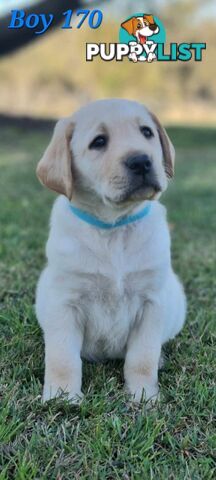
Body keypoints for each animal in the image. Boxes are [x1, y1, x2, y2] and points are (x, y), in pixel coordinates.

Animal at [35, 99, 186, 404]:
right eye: (99, 142)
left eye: (146, 132)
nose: (141, 161)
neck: (112, 228)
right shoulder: (63, 302)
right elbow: (62, 358)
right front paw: (62, 398)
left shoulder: (152, 303)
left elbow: (142, 357)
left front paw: (143, 396)